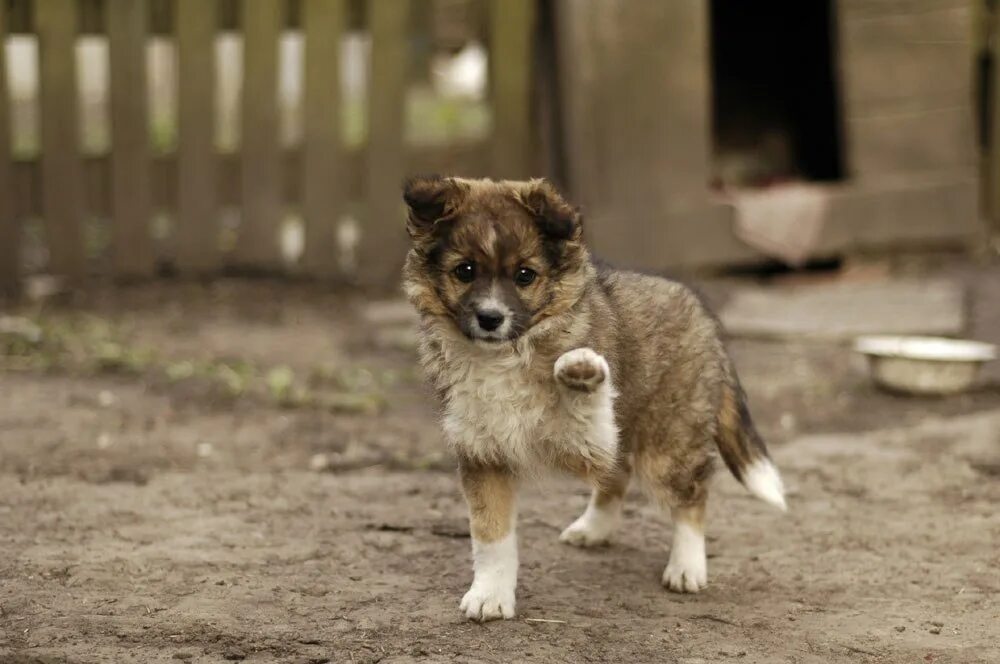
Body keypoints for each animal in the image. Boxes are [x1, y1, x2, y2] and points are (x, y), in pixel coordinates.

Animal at [402, 176, 784, 624]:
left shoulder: (586, 441)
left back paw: (686, 566)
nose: (490, 318)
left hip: (668, 442)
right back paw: (594, 529)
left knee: (690, 494)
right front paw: (490, 594)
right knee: (617, 476)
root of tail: (705, 318)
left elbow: (587, 409)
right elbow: (490, 535)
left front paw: (582, 372)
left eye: (525, 275)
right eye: (464, 271)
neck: (505, 356)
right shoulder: (483, 453)